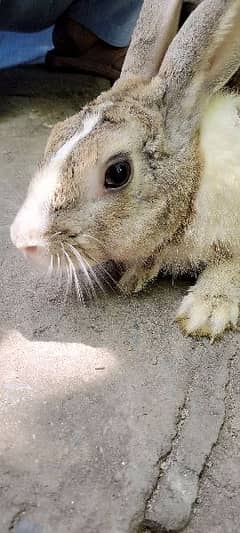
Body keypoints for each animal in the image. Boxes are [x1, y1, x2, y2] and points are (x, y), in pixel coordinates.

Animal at [10, 0, 240, 338]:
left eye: (118, 172)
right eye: (56, 133)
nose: (22, 239)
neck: (196, 183)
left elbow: (229, 264)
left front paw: (206, 313)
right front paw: (134, 277)